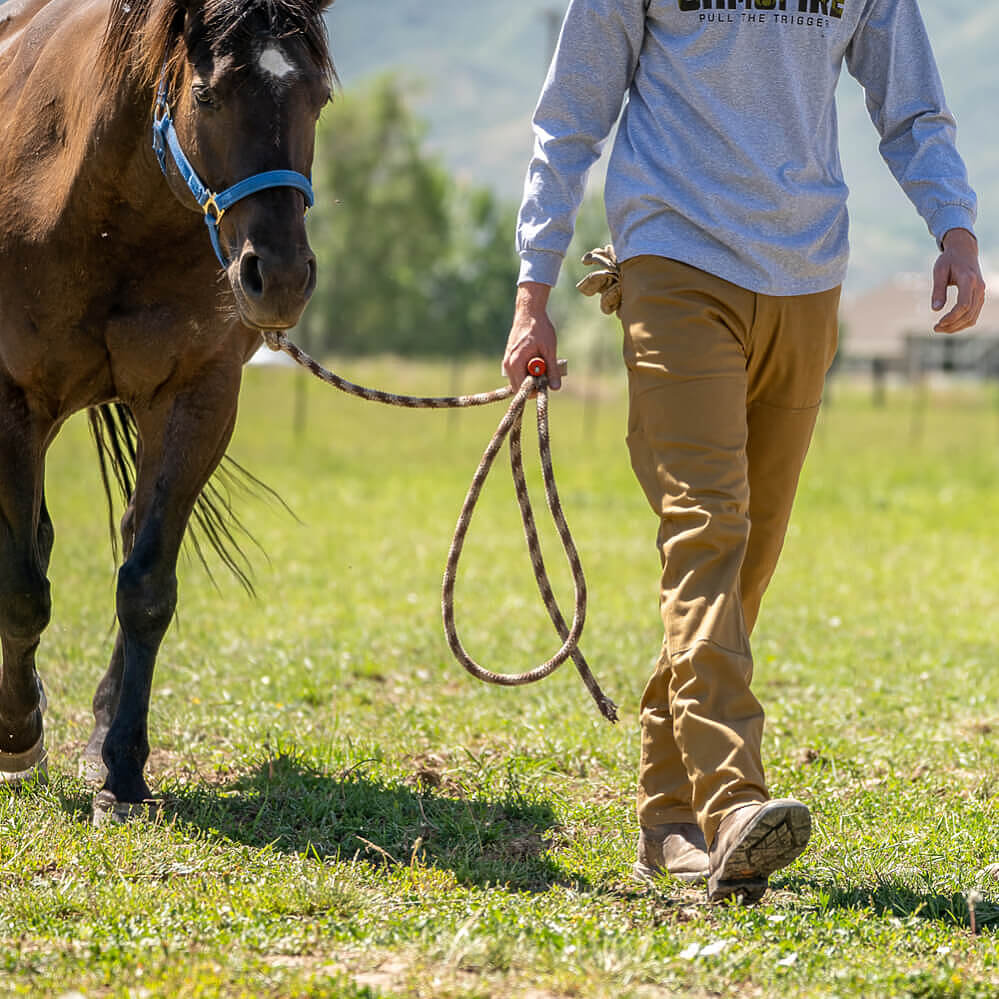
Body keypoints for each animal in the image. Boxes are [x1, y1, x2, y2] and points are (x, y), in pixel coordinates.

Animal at [0, 0, 335, 822]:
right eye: (208, 96)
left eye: (318, 99)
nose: (280, 277)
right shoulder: (15, 400)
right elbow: (20, 581)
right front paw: (18, 733)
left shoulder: (197, 400)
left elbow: (145, 584)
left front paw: (120, 763)